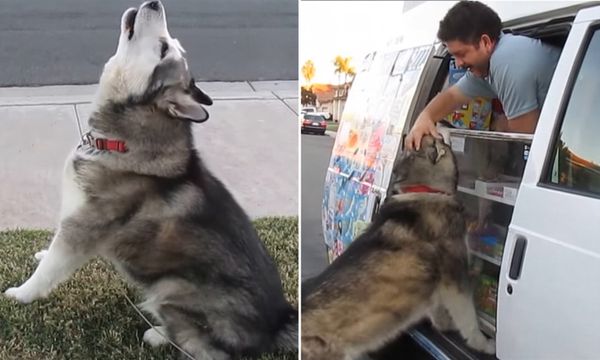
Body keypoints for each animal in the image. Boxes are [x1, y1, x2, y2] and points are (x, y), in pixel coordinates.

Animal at [2, 1, 296, 358]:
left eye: (163, 48)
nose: (155, 3)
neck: (120, 140)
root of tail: (277, 321)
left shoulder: (83, 226)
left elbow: (48, 271)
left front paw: (21, 293)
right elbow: (53, 255)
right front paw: (43, 255)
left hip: (173, 288)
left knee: (205, 348)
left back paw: (157, 334)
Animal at [302, 136, 494, 360]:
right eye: (438, 139)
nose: (442, 128)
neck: (424, 190)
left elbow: (439, 309)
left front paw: (444, 325)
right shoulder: (455, 275)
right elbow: (469, 318)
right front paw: (483, 344)